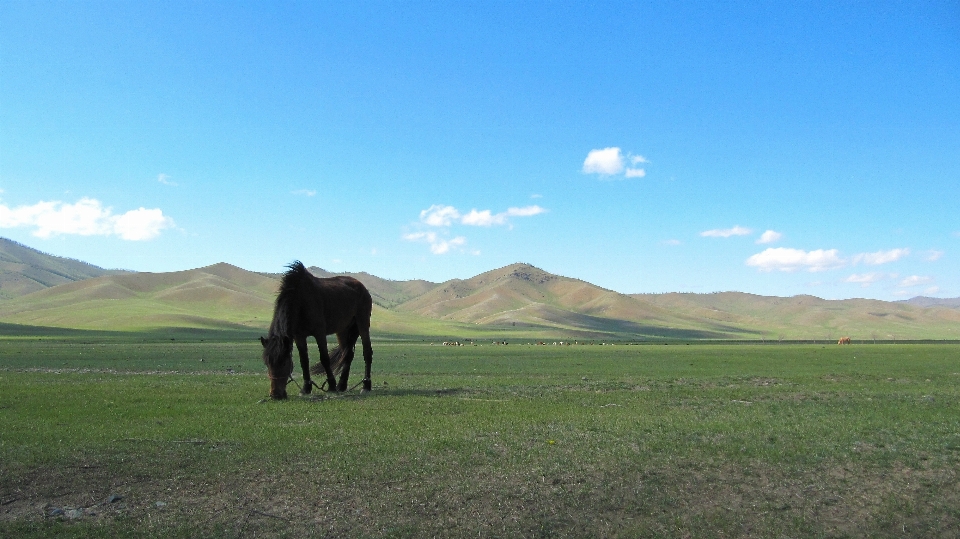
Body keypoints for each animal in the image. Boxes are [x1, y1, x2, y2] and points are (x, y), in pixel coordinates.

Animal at [260, 262, 374, 400]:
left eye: (283, 363)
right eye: (267, 363)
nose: (275, 395)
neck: (301, 301)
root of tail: (362, 288)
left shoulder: (319, 333)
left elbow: (324, 358)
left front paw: (331, 386)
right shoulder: (299, 336)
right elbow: (304, 361)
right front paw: (306, 388)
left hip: (362, 324)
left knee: (367, 352)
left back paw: (366, 386)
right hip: (343, 330)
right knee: (347, 355)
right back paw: (341, 386)